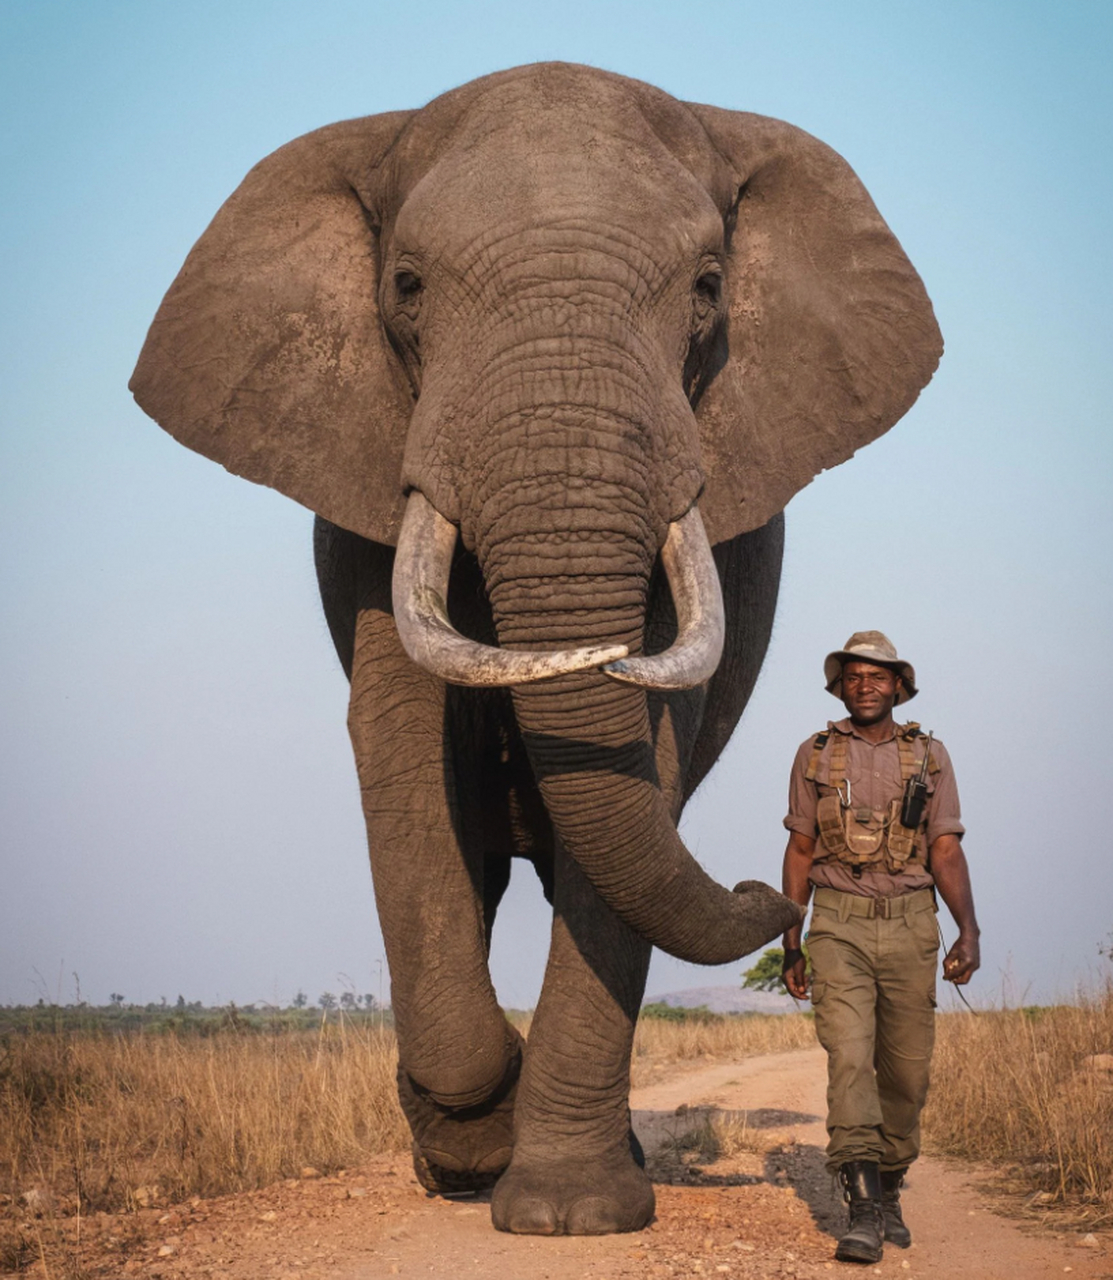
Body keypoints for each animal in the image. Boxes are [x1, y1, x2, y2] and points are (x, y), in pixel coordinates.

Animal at [130, 62, 941, 1239]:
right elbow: (400, 748)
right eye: (407, 286)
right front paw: (475, 1146)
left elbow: (643, 751)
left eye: (708, 289)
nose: (770, 889)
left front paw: (570, 1211)